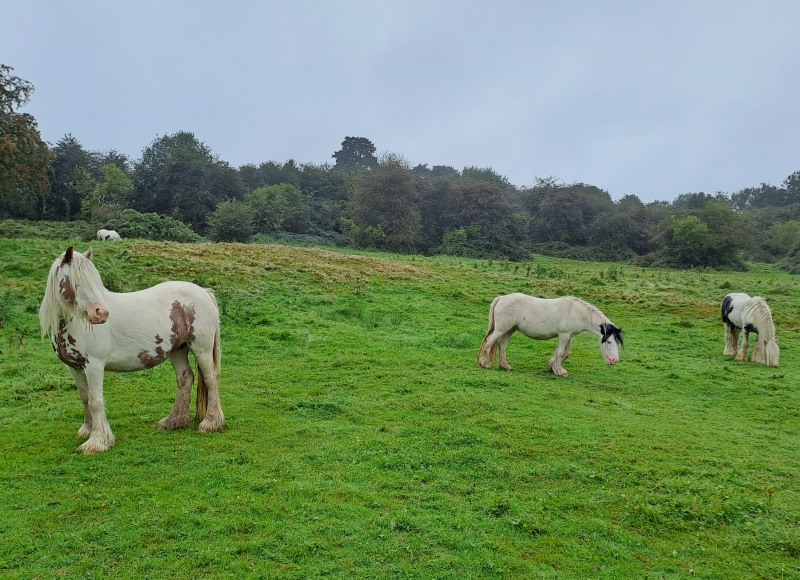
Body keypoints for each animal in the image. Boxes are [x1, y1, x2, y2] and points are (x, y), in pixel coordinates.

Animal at [39, 247, 224, 454]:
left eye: (94, 280)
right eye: (74, 281)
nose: (100, 313)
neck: (74, 322)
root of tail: (204, 292)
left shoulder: (94, 365)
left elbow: (96, 401)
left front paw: (97, 441)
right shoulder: (74, 368)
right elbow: (85, 398)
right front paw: (87, 430)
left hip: (202, 349)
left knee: (211, 380)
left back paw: (211, 423)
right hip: (178, 350)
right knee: (185, 379)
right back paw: (174, 421)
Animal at [477, 293, 623, 377]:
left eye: (618, 344)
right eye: (609, 342)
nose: (614, 360)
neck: (577, 312)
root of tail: (501, 298)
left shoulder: (569, 335)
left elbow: (567, 353)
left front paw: (551, 366)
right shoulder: (564, 335)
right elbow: (560, 352)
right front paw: (559, 371)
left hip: (510, 329)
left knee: (502, 345)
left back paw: (505, 366)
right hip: (501, 329)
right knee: (489, 341)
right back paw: (484, 364)